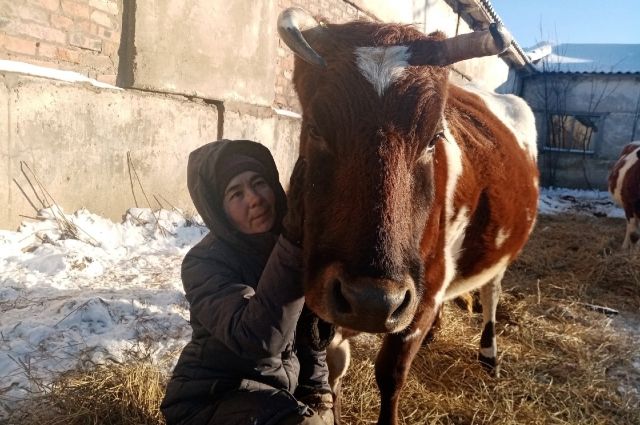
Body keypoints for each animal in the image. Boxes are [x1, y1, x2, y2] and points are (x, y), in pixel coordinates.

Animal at [278, 7, 540, 424]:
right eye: (316, 128)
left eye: (434, 138)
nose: (372, 300)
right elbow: (332, 367)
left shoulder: (424, 294)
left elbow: (391, 374)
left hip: (499, 252)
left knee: (492, 292)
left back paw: (489, 354)